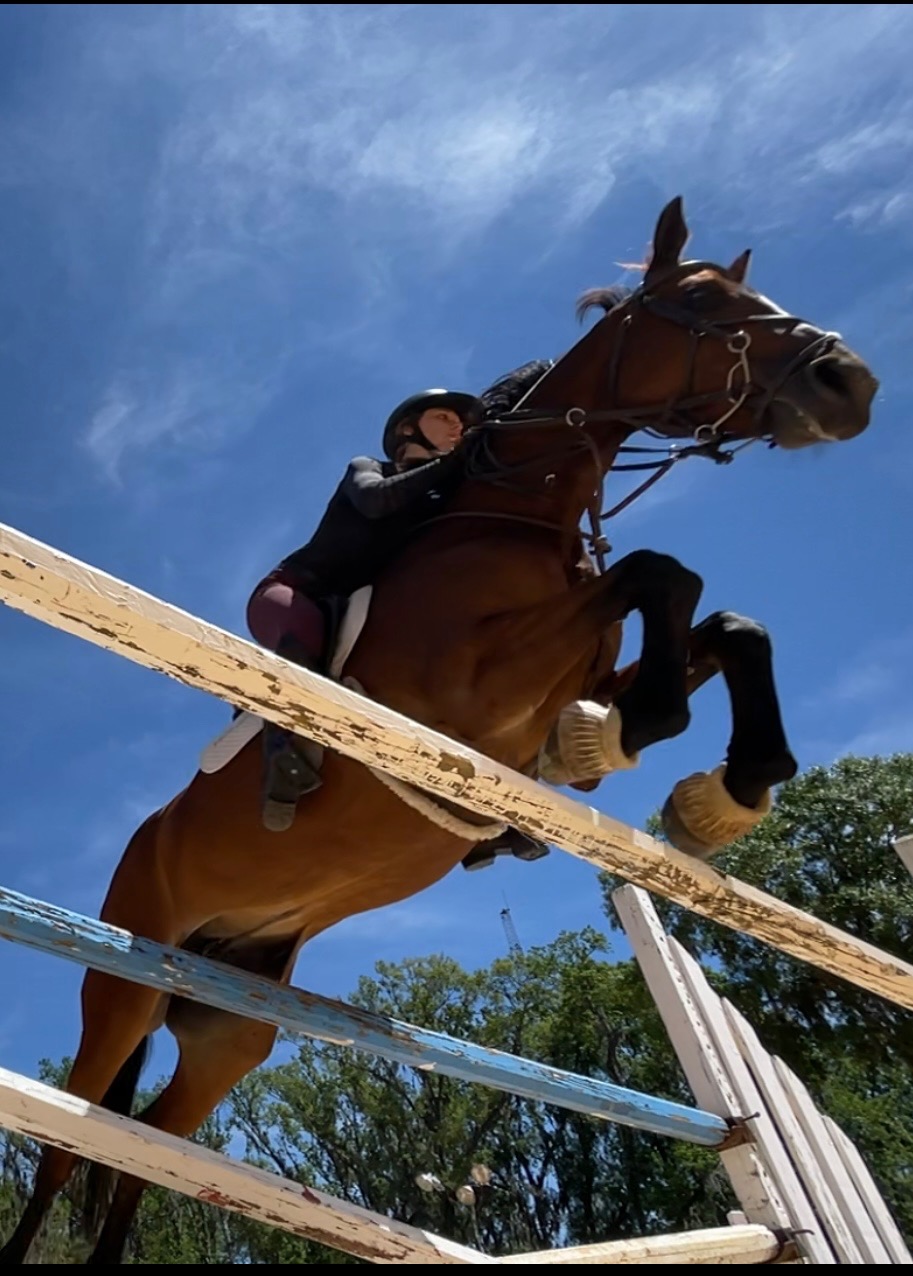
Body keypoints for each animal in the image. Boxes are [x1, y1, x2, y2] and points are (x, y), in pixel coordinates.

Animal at [0, 197, 877, 1264]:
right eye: (705, 303)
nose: (850, 383)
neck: (511, 514)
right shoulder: (470, 693)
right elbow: (660, 575)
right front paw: (640, 732)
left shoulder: (556, 680)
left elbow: (722, 622)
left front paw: (720, 785)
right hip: (122, 982)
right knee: (68, 1147)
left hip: (228, 1023)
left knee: (144, 1153)